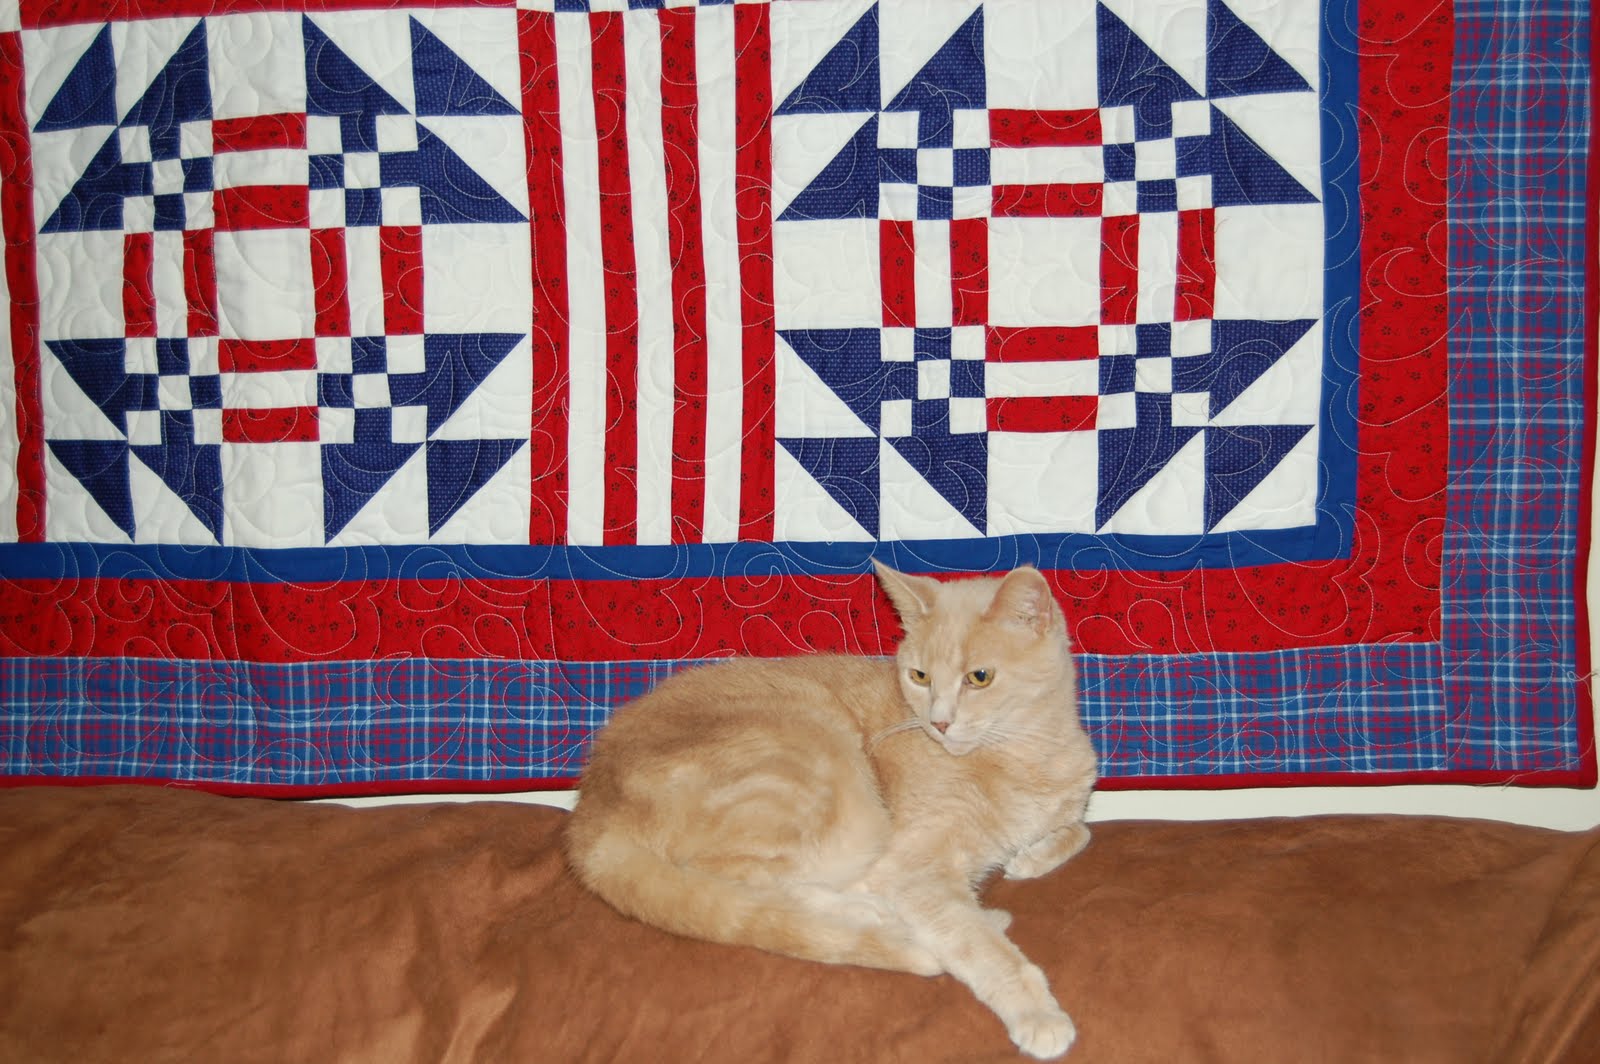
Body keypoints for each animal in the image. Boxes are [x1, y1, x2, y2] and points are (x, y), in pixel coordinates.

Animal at [564, 563, 1099, 1059]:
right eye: (920, 676)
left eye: (979, 677)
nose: (939, 722)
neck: (1027, 756)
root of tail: (590, 811)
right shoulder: (913, 868)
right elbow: (982, 947)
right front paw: (1038, 1013)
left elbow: (1079, 830)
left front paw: (1030, 856)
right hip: (834, 797)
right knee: (737, 885)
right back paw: (887, 916)